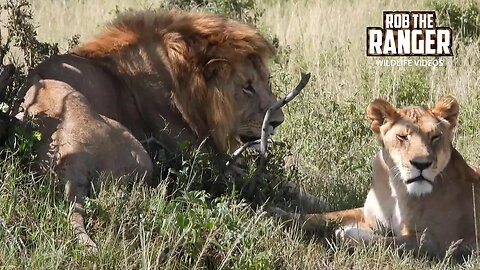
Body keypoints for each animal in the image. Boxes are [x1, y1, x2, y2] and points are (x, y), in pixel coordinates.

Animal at [18, 11, 284, 251]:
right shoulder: (203, 161)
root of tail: (74, 158)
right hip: (142, 157)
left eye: (267, 81)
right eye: (247, 87)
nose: (278, 122)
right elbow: (267, 190)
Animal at [272, 96, 480, 262]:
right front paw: (275, 214)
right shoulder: (368, 214)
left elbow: (389, 242)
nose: (421, 164)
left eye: (435, 137)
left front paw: (348, 233)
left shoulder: (440, 243)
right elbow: (324, 216)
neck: (397, 189)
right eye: (402, 137)